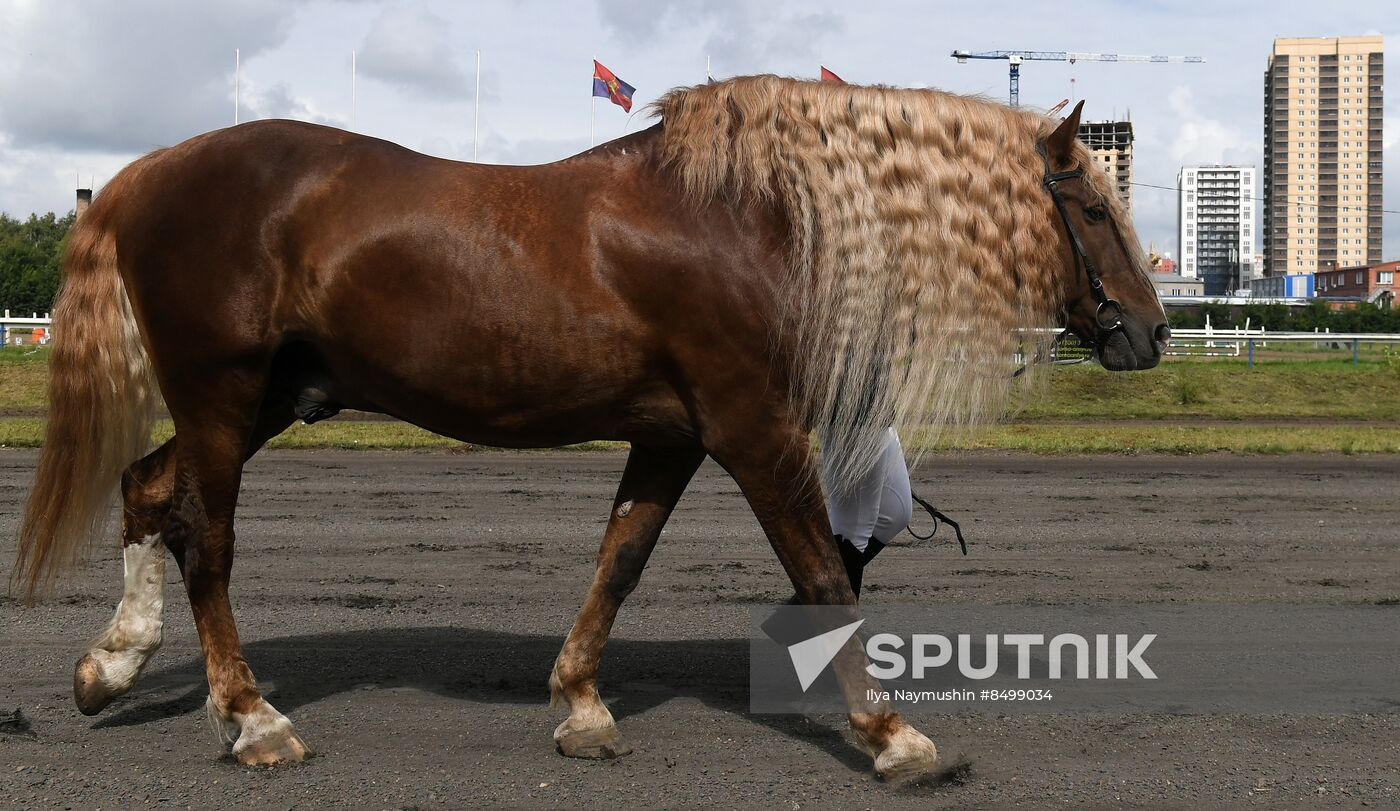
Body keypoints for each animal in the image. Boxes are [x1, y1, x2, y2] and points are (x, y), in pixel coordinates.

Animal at [16, 77, 1164, 778]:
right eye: (1092, 209)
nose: (1150, 333)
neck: (746, 219)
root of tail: (146, 171)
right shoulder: (752, 428)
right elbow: (820, 575)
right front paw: (892, 734)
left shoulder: (674, 434)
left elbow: (620, 559)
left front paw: (580, 703)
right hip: (221, 393)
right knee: (205, 537)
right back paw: (251, 719)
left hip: (273, 398)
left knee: (148, 490)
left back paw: (110, 666)